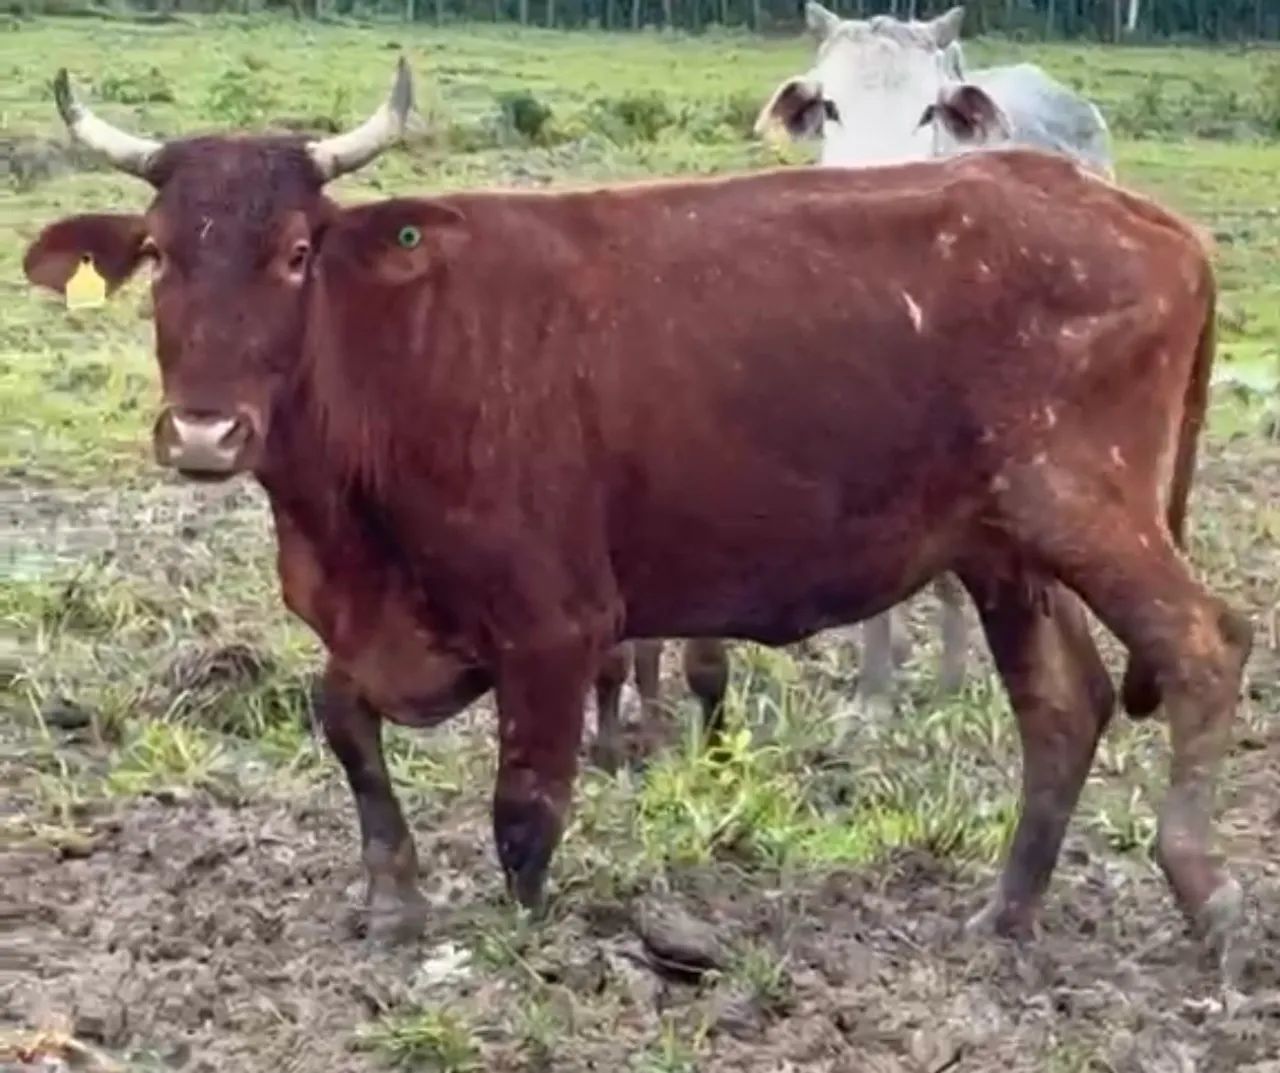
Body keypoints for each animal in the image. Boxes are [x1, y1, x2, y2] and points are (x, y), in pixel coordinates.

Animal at [25, 61, 1249, 972]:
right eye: (161, 256)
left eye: (293, 253)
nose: (203, 433)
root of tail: (1153, 223)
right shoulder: (384, 623)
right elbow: (342, 720)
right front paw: (393, 895)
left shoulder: (556, 621)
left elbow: (525, 808)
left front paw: (521, 937)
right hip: (1003, 549)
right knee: (1063, 705)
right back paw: (1005, 912)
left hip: (1087, 506)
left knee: (1203, 644)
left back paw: (1203, 891)